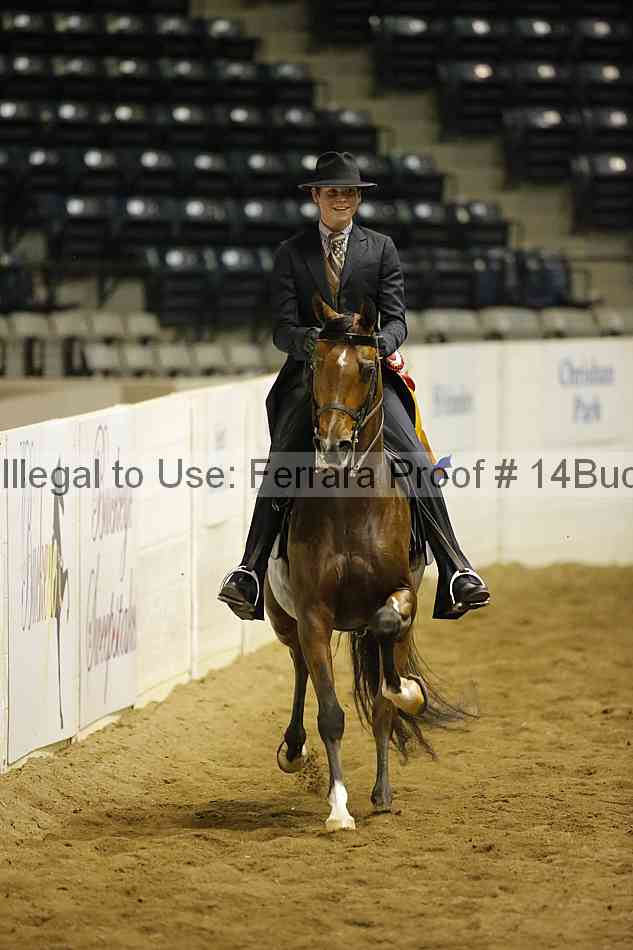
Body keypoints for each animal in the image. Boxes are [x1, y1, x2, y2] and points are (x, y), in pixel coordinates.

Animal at [265, 299, 463, 832]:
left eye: (370, 367)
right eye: (315, 363)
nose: (334, 446)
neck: (351, 506)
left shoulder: (402, 592)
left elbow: (386, 672)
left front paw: (408, 692)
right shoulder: (312, 614)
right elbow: (331, 712)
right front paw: (338, 808)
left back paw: (382, 786)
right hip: (282, 617)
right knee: (299, 667)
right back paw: (294, 750)